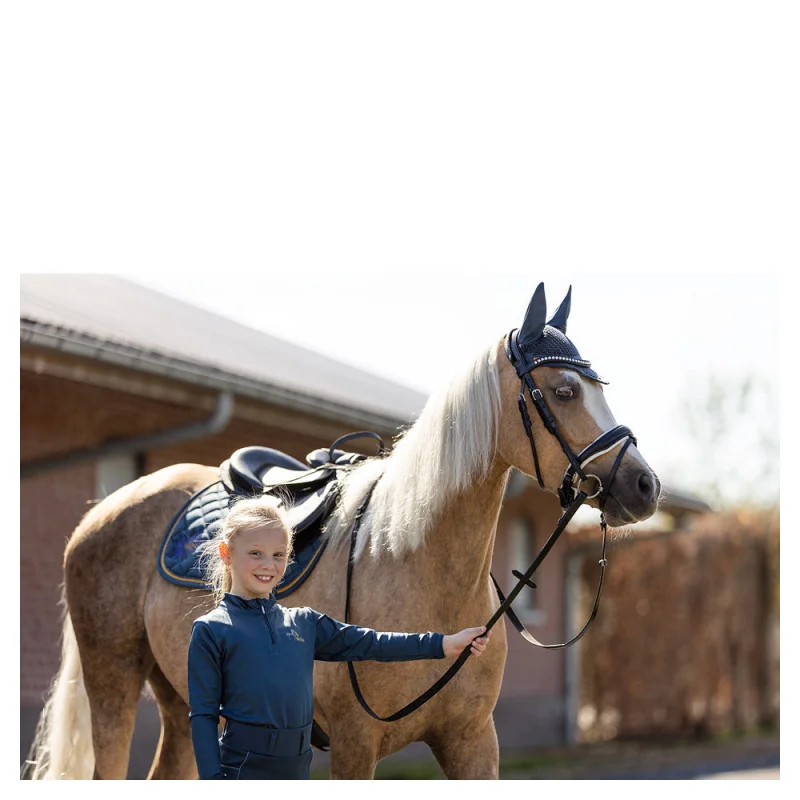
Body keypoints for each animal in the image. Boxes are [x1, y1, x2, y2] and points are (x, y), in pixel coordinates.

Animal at [24, 283, 660, 780]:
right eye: (563, 391)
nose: (644, 486)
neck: (413, 563)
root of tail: (102, 512)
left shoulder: (473, 740)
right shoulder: (356, 744)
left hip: (183, 697)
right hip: (113, 680)